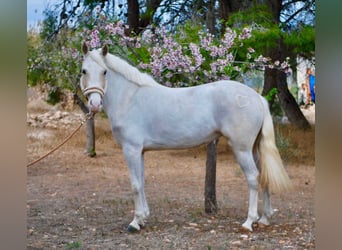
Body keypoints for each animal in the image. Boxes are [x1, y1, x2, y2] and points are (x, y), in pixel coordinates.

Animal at [80, 43, 292, 232]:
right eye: (83, 71)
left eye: (105, 72)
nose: (95, 105)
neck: (130, 98)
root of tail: (257, 98)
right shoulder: (140, 151)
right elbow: (141, 181)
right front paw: (143, 218)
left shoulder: (131, 149)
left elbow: (135, 185)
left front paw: (134, 223)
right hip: (254, 148)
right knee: (263, 175)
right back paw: (264, 219)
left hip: (242, 149)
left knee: (253, 177)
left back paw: (249, 222)